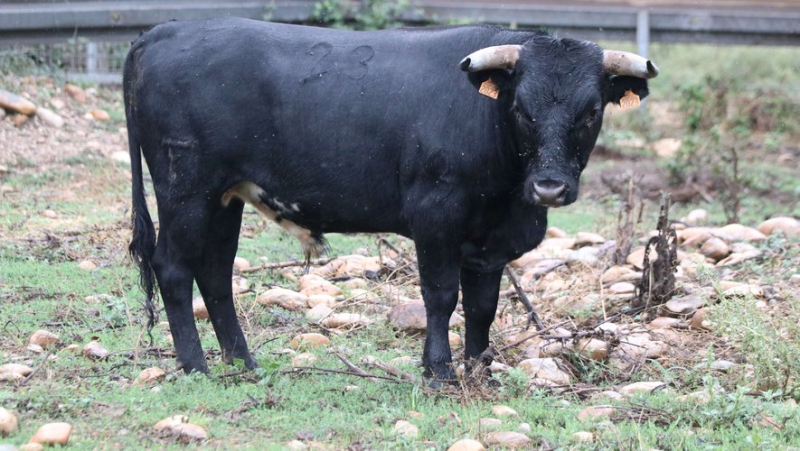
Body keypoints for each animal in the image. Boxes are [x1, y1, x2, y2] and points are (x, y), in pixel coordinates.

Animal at [125, 19, 660, 384]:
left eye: (591, 111)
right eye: (521, 109)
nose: (549, 187)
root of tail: (166, 30)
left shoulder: (489, 242)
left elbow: (482, 307)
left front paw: (480, 373)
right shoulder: (435, 215)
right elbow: (441, 296)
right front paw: (439, 371)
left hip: (224, 198)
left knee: (215, 273)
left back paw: (242, 362)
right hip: (185, 191)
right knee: (173, 268)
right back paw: (196, 366)